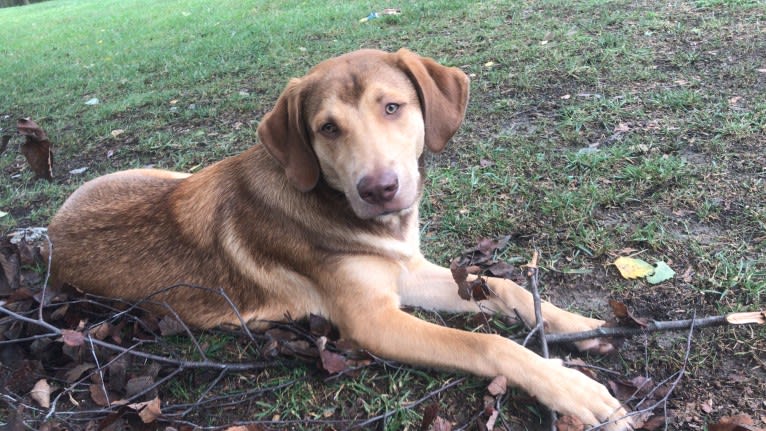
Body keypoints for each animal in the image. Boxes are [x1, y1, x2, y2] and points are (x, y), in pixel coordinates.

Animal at [49, 49, 636, 428]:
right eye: (327, 128)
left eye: (393, 107)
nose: (379, 189)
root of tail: (49, 232)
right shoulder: (371, 321)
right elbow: (487, 344)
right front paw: (572, 388)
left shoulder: (406, 272)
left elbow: (505, 287)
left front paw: (578, 324)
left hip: (166, 174)